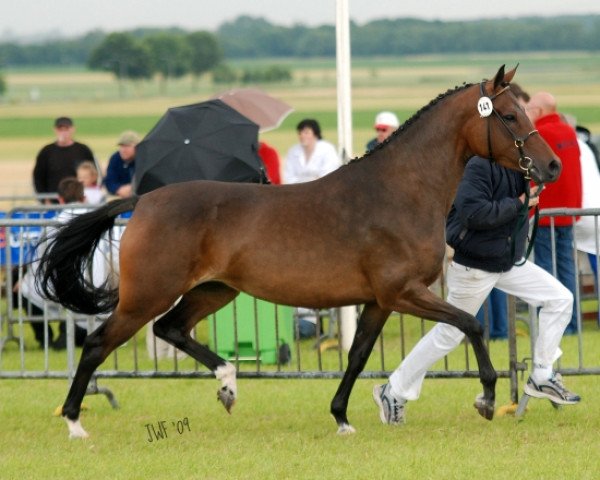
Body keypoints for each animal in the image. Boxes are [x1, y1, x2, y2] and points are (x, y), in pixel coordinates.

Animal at [38, 64, 564, 438]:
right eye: (510, 116)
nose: (553, 167)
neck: (398, 191)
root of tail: (142, 200)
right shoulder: (403, 292)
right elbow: (472, 325)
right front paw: (487, 400)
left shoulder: (378, 301)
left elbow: (357, 355)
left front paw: (342, 418)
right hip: (147, 295)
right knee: (98, 343)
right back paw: (75, 422)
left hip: (214, 290)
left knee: (171, 329)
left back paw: (228, 384)